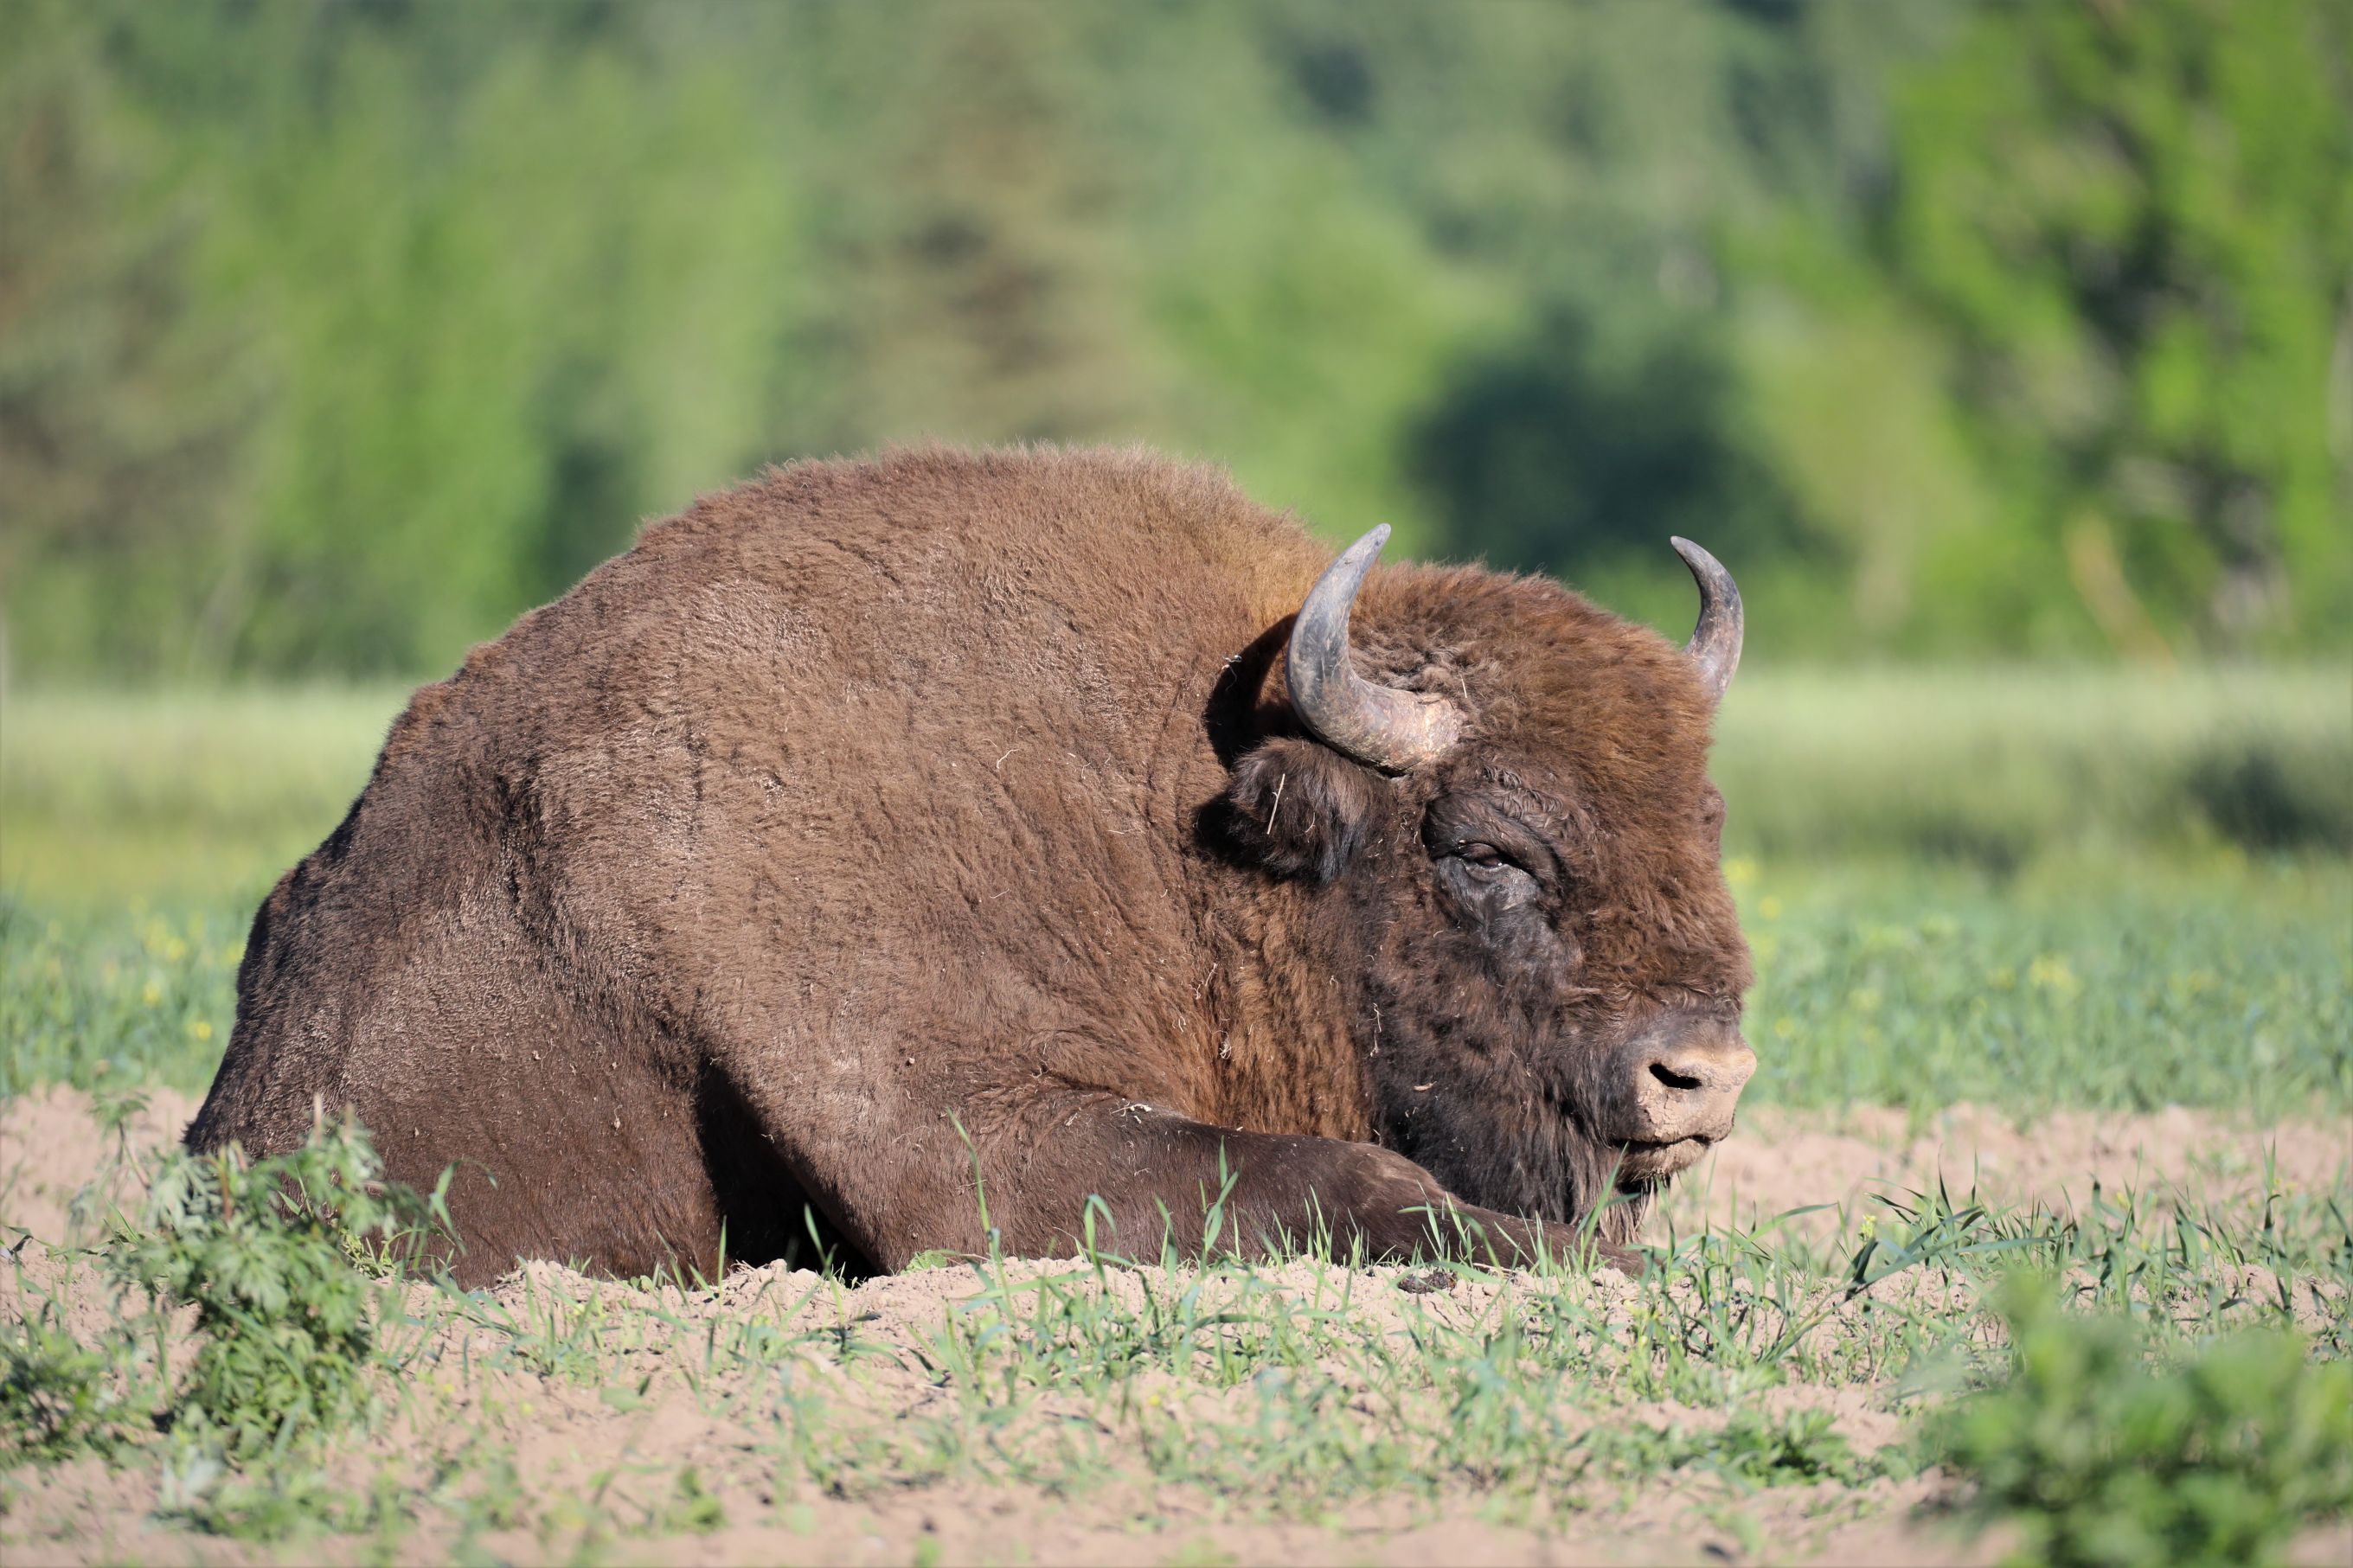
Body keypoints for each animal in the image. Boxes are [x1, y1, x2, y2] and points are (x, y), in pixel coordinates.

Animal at [188, 446, 1755, 1283]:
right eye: (1490, 850)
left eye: (1708, 817)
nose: (1704, 1076)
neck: (1173, 805)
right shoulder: (958, 1139)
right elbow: (1347, 1173)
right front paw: (1596, 1261)